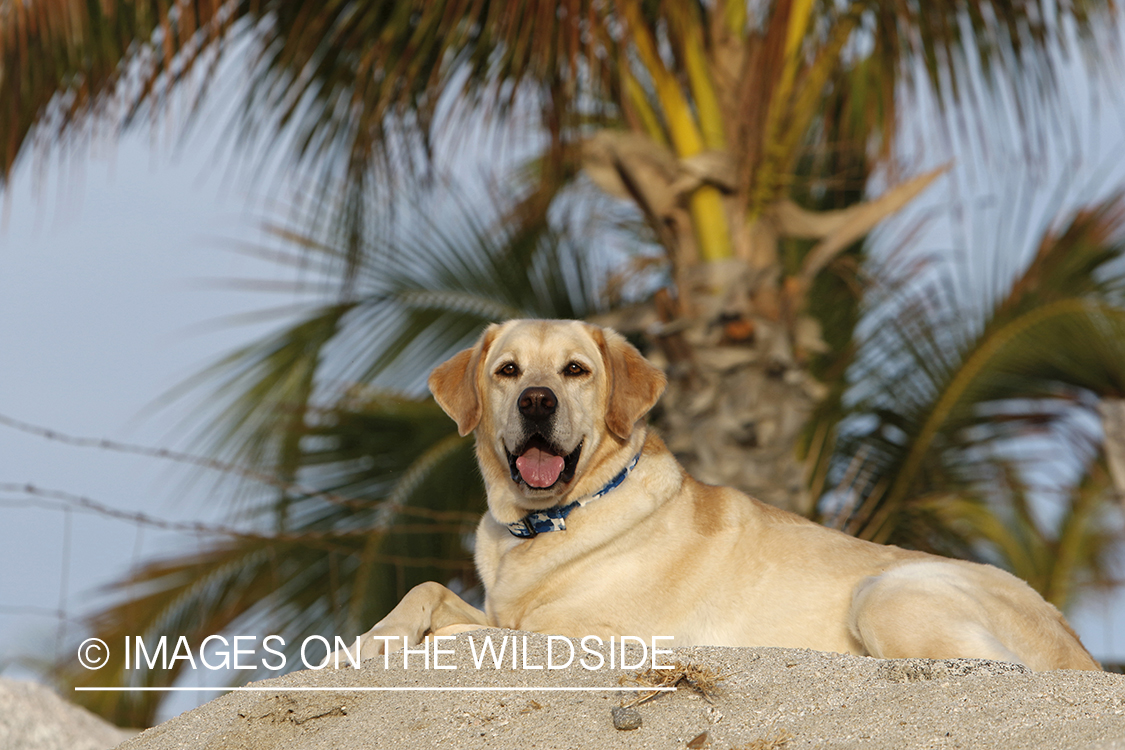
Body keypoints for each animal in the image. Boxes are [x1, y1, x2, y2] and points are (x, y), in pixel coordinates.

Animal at [348, 319, 1098, 670]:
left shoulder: (601, 633)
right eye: (507, 370)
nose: (537, 400)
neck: (551, 521)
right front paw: (362, 645)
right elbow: (427, 591)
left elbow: (485, 629)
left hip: (887, 592)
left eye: (575, 371)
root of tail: (1075, 640)